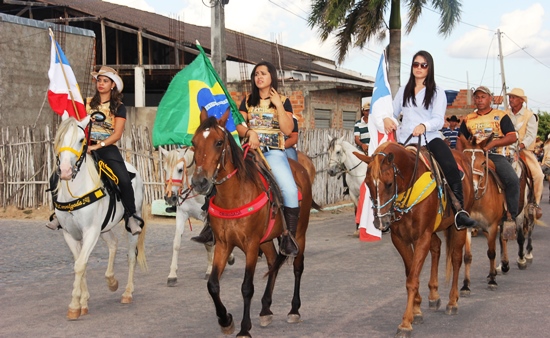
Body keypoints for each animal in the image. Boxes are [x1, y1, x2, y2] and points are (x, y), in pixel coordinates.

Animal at [53, 113, 147, 320]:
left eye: (82, 140)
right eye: (59, 137)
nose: (65, 171)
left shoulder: (90, 231)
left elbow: (80, 264)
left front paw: (74, 306)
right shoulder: (70, 234)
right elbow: (80, 263)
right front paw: (83, 302)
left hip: (130, 224)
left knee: (131, 256)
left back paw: (127, 292)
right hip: (104, 227)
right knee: (113, 244)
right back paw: (111, 281)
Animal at [160, 147, 233, 284]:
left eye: (180, 170)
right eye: (165, 170)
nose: (170, 198)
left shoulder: (206, 218)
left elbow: (209, 244)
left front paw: (209, 271)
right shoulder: (181, 214)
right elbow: (176, 243)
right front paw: (172, 274)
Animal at [191, 109, 314, 336]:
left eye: (219, 142)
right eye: (194, 142)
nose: (199, 182)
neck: (234, 196)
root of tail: (301, 168)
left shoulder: (250, 245)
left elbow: (247, 287)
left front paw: (244, 328)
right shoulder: (224, 244)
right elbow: (213, 285)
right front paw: (225, 320)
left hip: (299, 234)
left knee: (297, 267)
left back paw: (294, 310)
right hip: (265, 241)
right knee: (273, 262)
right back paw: (265, 309)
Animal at [358, 141, 474, 338]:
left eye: (389, 184)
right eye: (367, 183)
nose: (380, 222)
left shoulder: (422, 237)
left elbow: (412, 279)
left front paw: (406, 323)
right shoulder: (400, 239)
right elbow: (411, 272)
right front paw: (417, 310)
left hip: (458, 226)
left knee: (456, 259)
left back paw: (452, 301)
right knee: (437, 247)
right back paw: (434, 295)